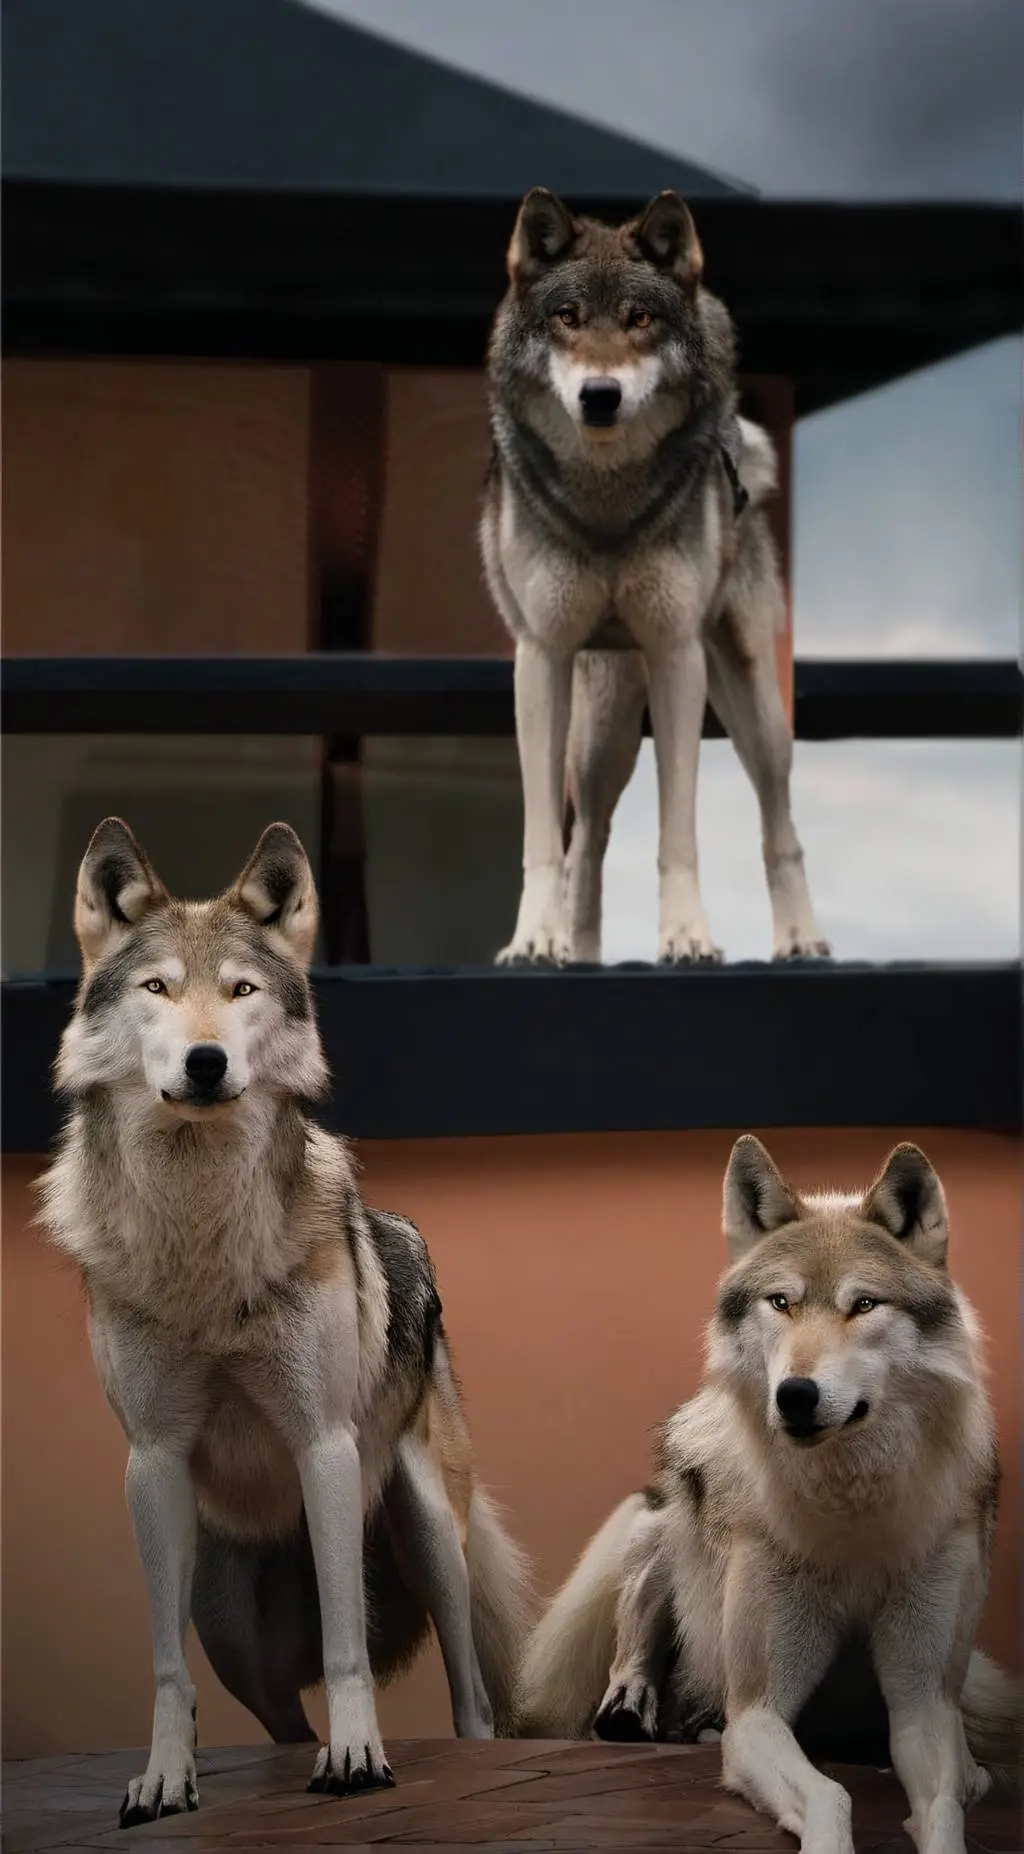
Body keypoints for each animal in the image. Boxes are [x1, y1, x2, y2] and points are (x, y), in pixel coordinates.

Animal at [38, 818, 532, 1826]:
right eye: (157, 989)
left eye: (241, 990)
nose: (206, 1062)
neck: (201, 1244)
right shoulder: (151, 1461)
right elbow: (163, 1672)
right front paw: (163, 1778)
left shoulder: (323, 1444)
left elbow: (346, 1649)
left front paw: (359, 1757)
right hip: (231, 1631)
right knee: (276, 1726)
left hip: (432, 1538)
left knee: (470, 1706)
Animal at [481, 186, 829, 966]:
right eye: (568, 317)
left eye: (640, 319)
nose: (600, 395)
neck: (608, 505)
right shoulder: (540, 658)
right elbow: (544, 839)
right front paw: (534, 940)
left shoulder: (677, 657)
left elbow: (680, 831)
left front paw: (688, 936)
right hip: (599, 741)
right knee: (588, 843)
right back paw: (577, 951)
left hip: (755, 713)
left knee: (782, 826)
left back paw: (802, 939)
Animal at [518, 1137, 1020, 1854]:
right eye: (780, 1302)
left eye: (864, 1305)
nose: (796, 1395)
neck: (851, 1512)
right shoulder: (758, 1711)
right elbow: (831, 1794)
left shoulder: (923, 1702)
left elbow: (945, 1807)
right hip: (658, 1521)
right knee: (637, 1648)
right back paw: (637, 1711)